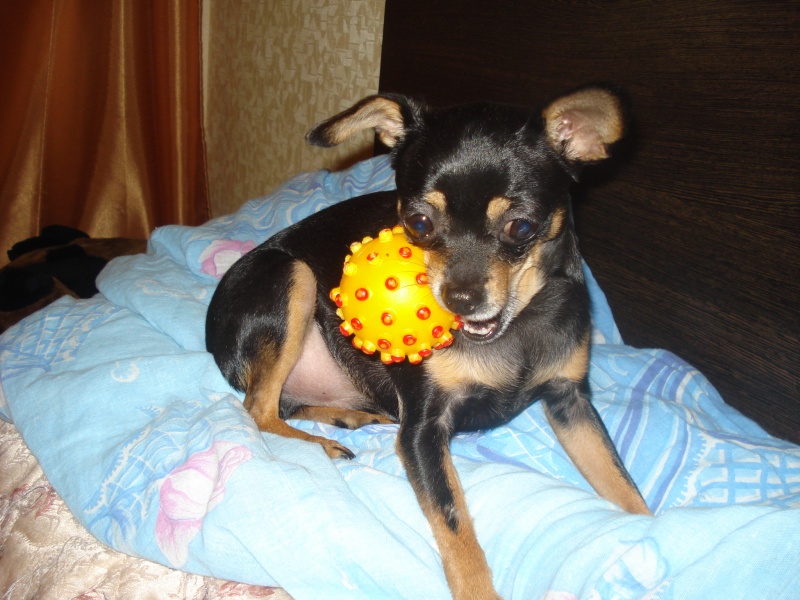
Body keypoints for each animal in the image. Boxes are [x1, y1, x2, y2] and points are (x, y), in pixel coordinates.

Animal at [206, 86, 650, 599]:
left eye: (521, 227)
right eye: (418, 222)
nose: (459, 298)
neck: (515, 328)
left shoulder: (571, 401)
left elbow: (623, 485)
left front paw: (654, 531)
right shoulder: (422, 431)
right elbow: (457, 531)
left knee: (283, 403)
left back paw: (349, 416)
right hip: (292, 276)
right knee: (257, 408)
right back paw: (321, 445)